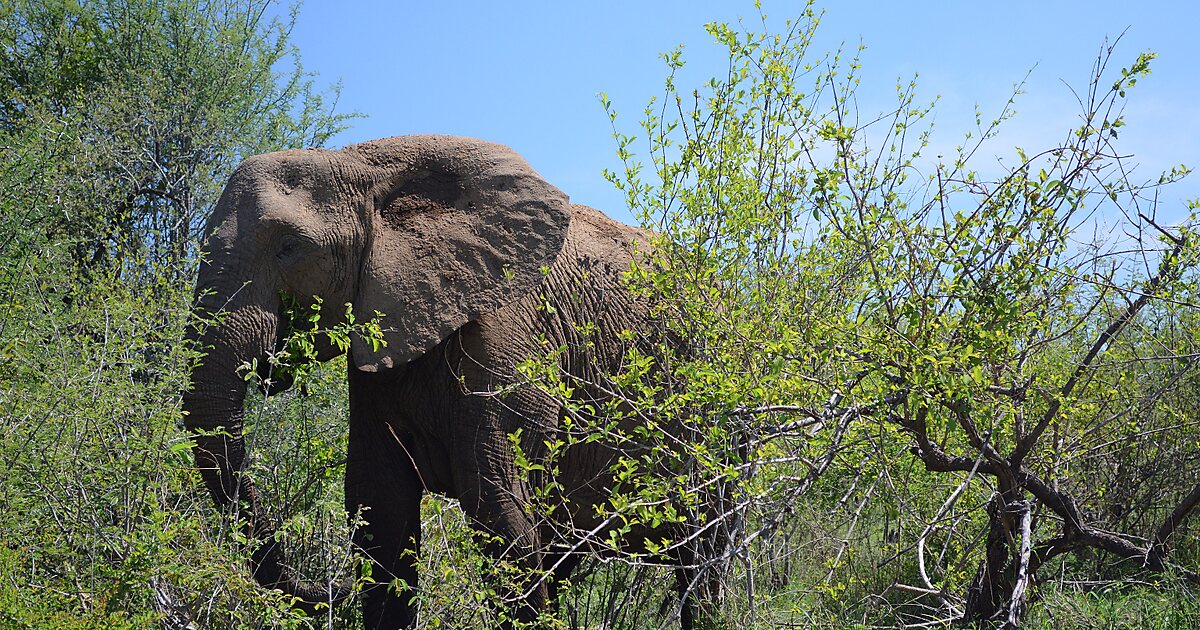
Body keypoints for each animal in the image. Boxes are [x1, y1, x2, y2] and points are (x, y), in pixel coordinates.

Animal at [180, 135, 720, 624]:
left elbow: (499, 513)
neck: (361, 162)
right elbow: (382, 513)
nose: (327, 589)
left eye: (290, 247)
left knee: (706, 551)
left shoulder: (508, 337)